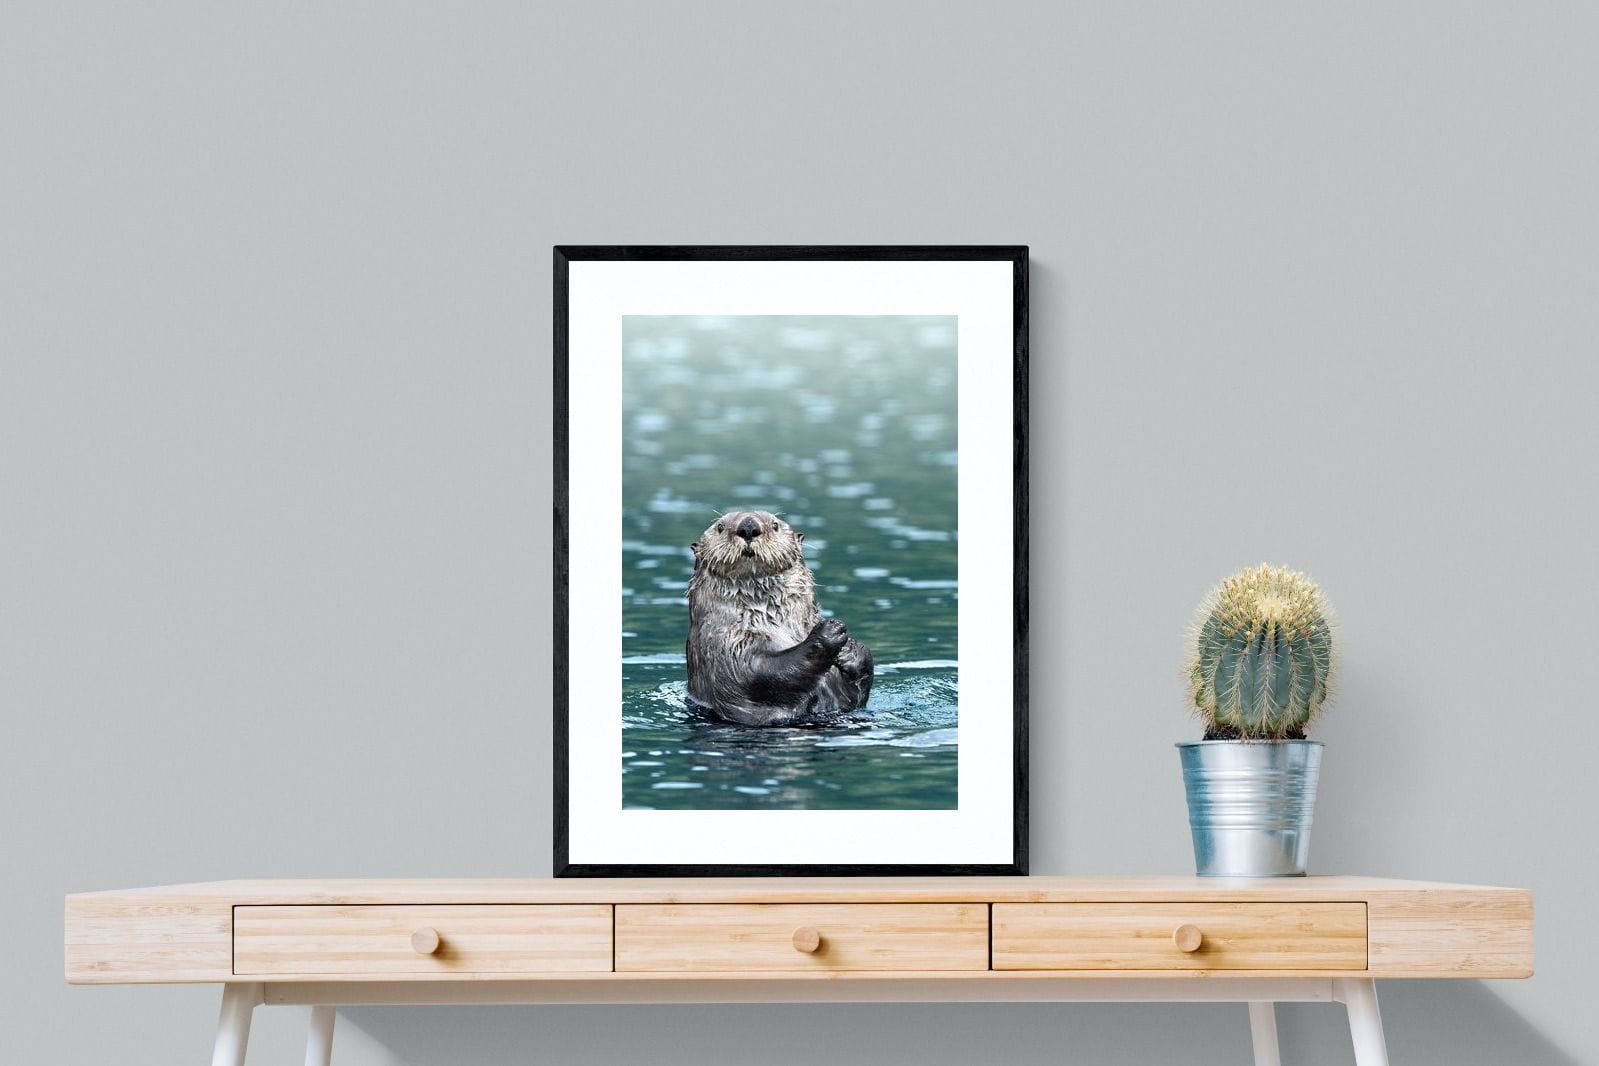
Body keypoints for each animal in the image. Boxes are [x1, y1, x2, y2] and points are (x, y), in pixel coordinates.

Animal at [685, 510, 874, 726]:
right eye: (720, 527)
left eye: (775, 525)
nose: (748, 527)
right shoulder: (723, 644)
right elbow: (758, 672)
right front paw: (829, 631)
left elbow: (857, 695)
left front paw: (850, 650)